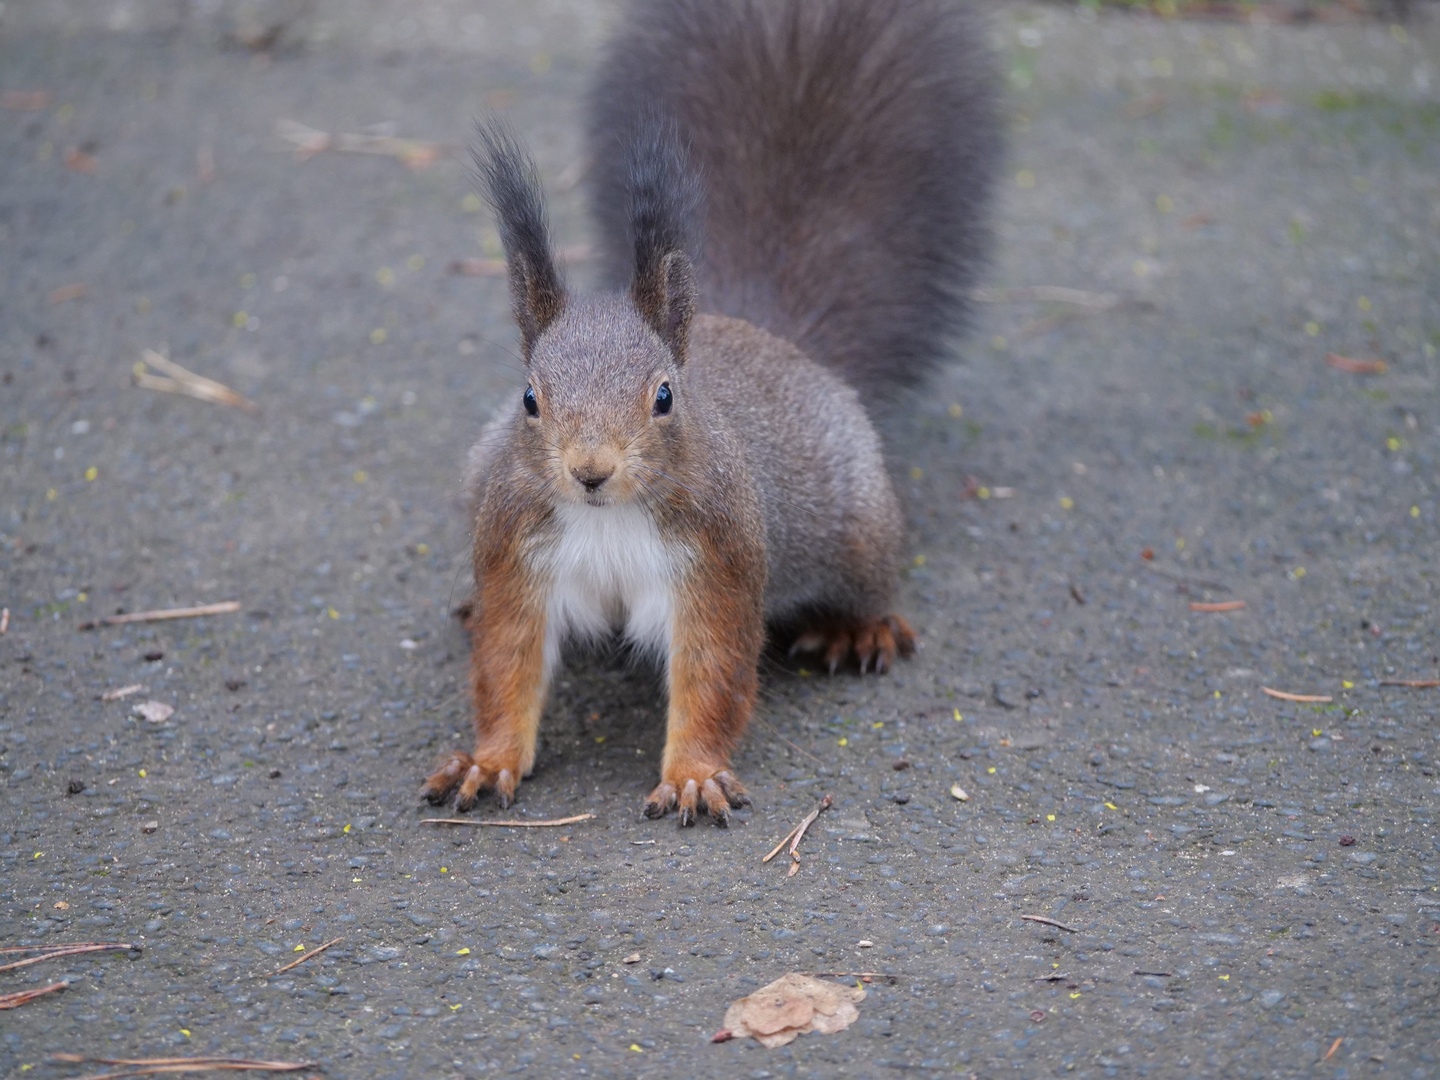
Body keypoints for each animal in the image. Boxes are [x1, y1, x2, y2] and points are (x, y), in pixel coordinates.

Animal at [420, 0, 996, 829]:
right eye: (530, 398)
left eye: (665, 397)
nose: (589, 471)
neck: (607, 519)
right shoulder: (514, 549)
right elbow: (507, 664)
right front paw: (487, 759)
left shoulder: (718, 560)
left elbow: (714, 674)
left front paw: (694, 774)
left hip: (858, 521)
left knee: (870, 574)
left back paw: (859, 627)